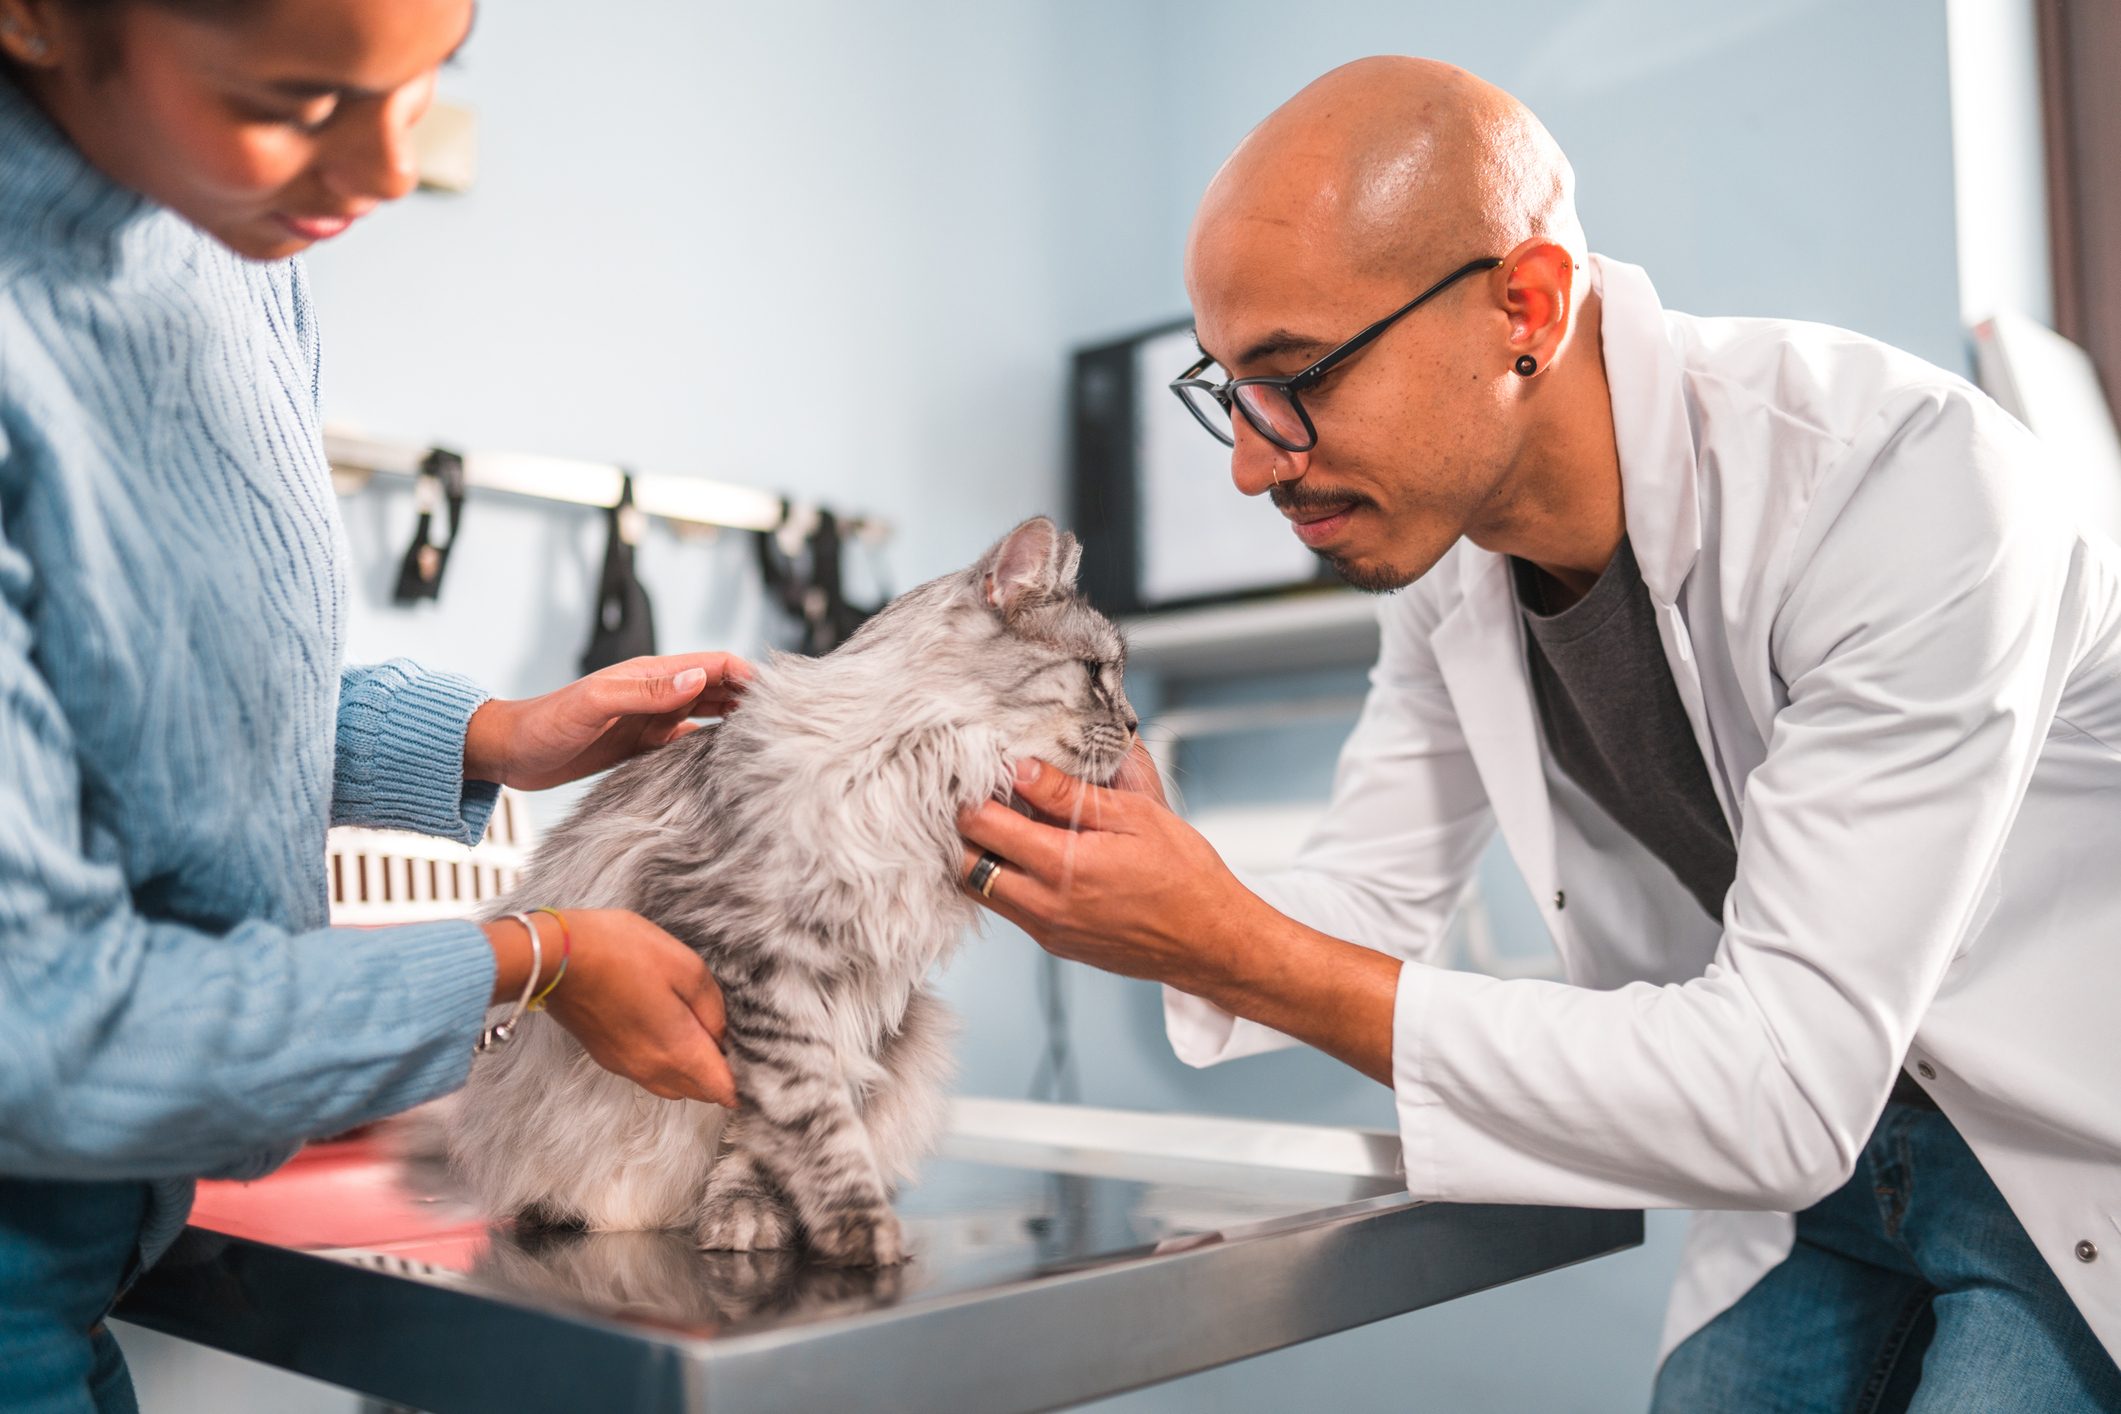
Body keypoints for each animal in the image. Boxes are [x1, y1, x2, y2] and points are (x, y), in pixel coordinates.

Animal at [445, 519, 1136, 1271]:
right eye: (1096, 674)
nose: (1135, 727)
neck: (911, 770)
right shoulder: (755, 958)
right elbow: (808, 1116)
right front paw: (858, 1228)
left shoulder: (855, 1002)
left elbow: (764, 1138)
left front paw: (753, 1213)